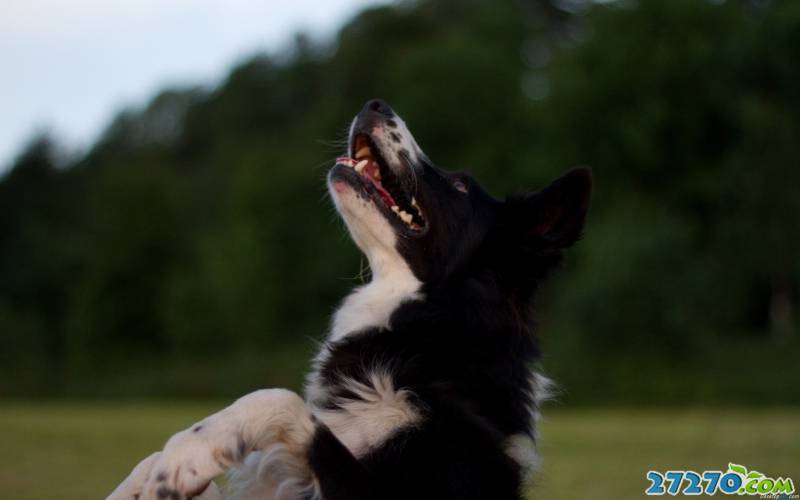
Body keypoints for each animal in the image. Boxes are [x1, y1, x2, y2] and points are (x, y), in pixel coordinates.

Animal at [109, 98, 592, 500]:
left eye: (459, 187)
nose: (375, 103)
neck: (431, 328)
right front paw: (148, 479)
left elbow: (280, 400)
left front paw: (187, 455)